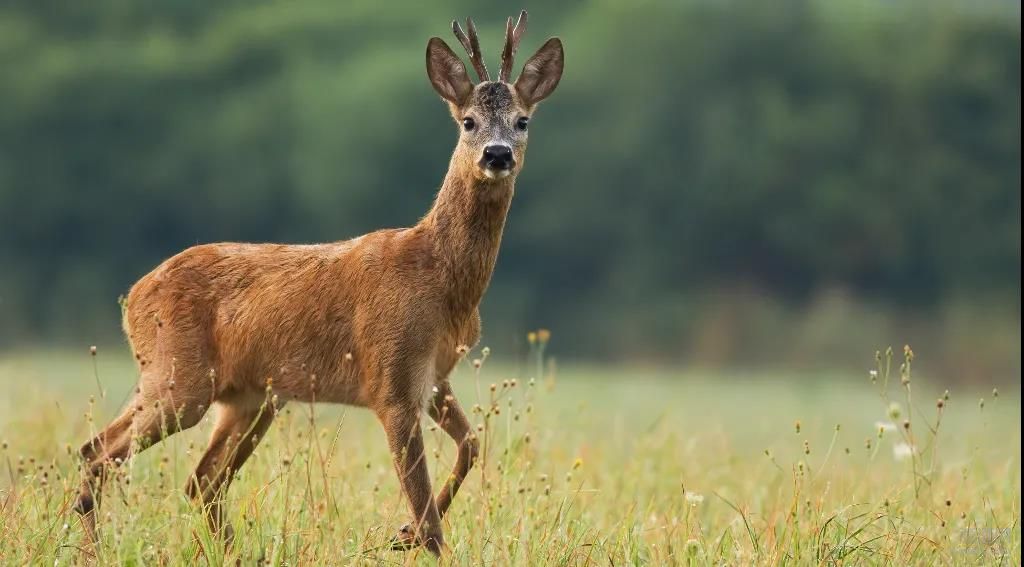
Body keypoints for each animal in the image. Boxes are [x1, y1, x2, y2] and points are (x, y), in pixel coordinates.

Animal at [73, 11, 565, 552]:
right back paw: (95, 549)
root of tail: (134, 296)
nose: (497, 155)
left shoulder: (435, 376)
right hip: (179, 376)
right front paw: (415, 532)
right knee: (100, 452)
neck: (440, 280)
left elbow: (471, 446)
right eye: (468, 121)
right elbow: (429, 510)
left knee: (198, 480)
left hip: (247, 396)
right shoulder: (389, 377)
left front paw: (403, 533)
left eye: (522, 121)